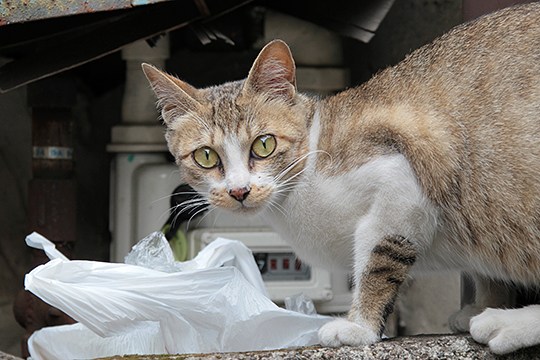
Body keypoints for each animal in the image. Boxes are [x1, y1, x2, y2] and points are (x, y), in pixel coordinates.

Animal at [142, 2, 540, 354]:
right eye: (206, 156)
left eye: (264, 144)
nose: (239, 190)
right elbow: (487, 272)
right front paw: (486, 302)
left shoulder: (402, 177)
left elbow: (378, 260)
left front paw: (359, 326)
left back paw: (508, 324)